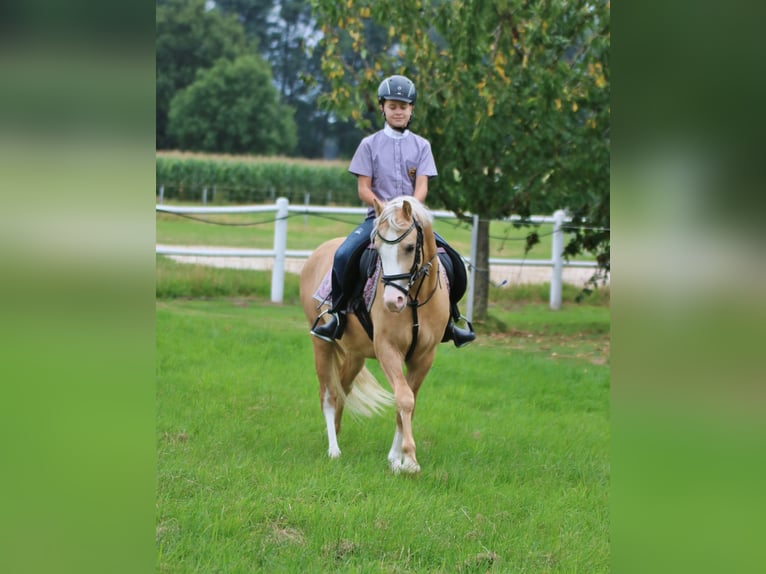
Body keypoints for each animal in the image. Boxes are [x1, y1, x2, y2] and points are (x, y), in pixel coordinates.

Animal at [299, 196, 450, 474]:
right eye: (377, 250)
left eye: (410, 247)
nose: (392, 301)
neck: (414, 301)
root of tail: (318, 252)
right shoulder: (387, 350)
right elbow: (404, 398)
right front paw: (410, 459)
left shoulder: (424, 357)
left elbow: (408, 403)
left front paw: (397, 460)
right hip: (321, 344)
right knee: (328, 393)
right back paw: (333, 449)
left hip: (355, 354)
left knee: (343, 388)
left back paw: (337, 433)